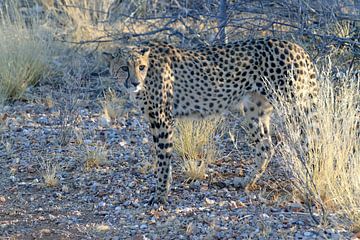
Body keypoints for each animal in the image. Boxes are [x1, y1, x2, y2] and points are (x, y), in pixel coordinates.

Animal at [102, 38, 320, 203]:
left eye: (141, 67)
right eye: (124, 68)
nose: (134, 83)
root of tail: (296, 46)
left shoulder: (162, 119)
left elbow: (163, 159)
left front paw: (161, 194)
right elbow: (163, 159)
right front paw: (164, 187)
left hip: (293, 107)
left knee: (310, 142)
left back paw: (311, 182)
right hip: (254, 109)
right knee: (266, 148)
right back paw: (246, 182)